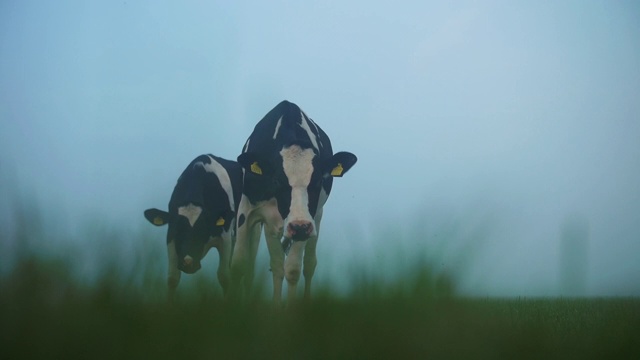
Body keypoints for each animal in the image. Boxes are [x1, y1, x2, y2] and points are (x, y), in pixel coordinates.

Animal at [144, 155, 241, 300]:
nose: (188, 262)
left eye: (203, 229)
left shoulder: (226, 236)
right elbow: (172, 279)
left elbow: (224, 277)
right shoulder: (170, 237)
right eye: (177, 230)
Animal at [230, 101, 358, 304]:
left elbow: (292, 270)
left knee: (309, 264)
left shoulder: (306, 222)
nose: (298, 227)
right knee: (272, 265)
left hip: (315, 219)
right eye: (277, 180)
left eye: (318, 181)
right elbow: (240, 265)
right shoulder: (247, 210)